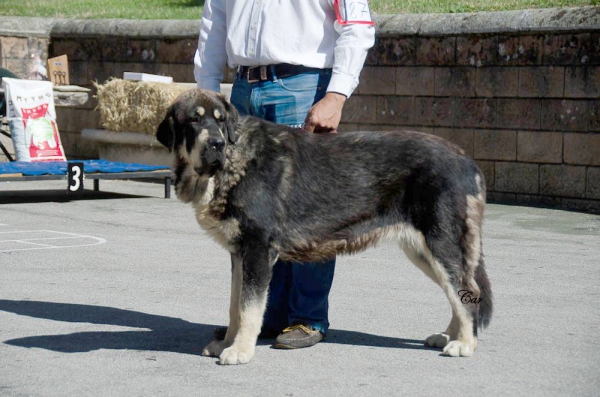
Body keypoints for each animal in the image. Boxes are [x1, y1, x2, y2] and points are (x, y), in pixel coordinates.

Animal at [157, 89, 494, 366]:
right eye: (193, 121)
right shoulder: (240, 254)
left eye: (220, 120)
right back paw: (449, 335)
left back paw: (464, 343)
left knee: (466, 289)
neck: (233, 161)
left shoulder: (257, 249)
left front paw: (240, 351)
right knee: (458, 292)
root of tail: (466, 160)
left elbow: (248, 308)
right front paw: (227, 342)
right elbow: (235, 306)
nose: (216, 143)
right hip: (423, 252)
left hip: (440, 243)